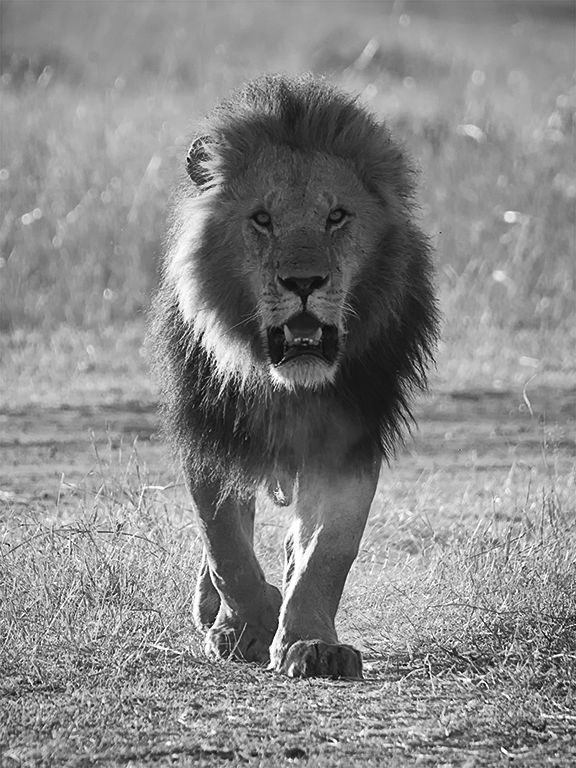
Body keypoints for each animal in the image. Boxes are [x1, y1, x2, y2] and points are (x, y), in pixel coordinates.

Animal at [150, 74, 438, 679]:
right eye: (262, 219)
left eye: (337, 217)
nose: (304, 282)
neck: (287, 383)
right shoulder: (210, 430)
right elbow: (225, 544)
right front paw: (247, 627)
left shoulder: (351, 435)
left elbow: (329, 548)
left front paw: (311, 642)